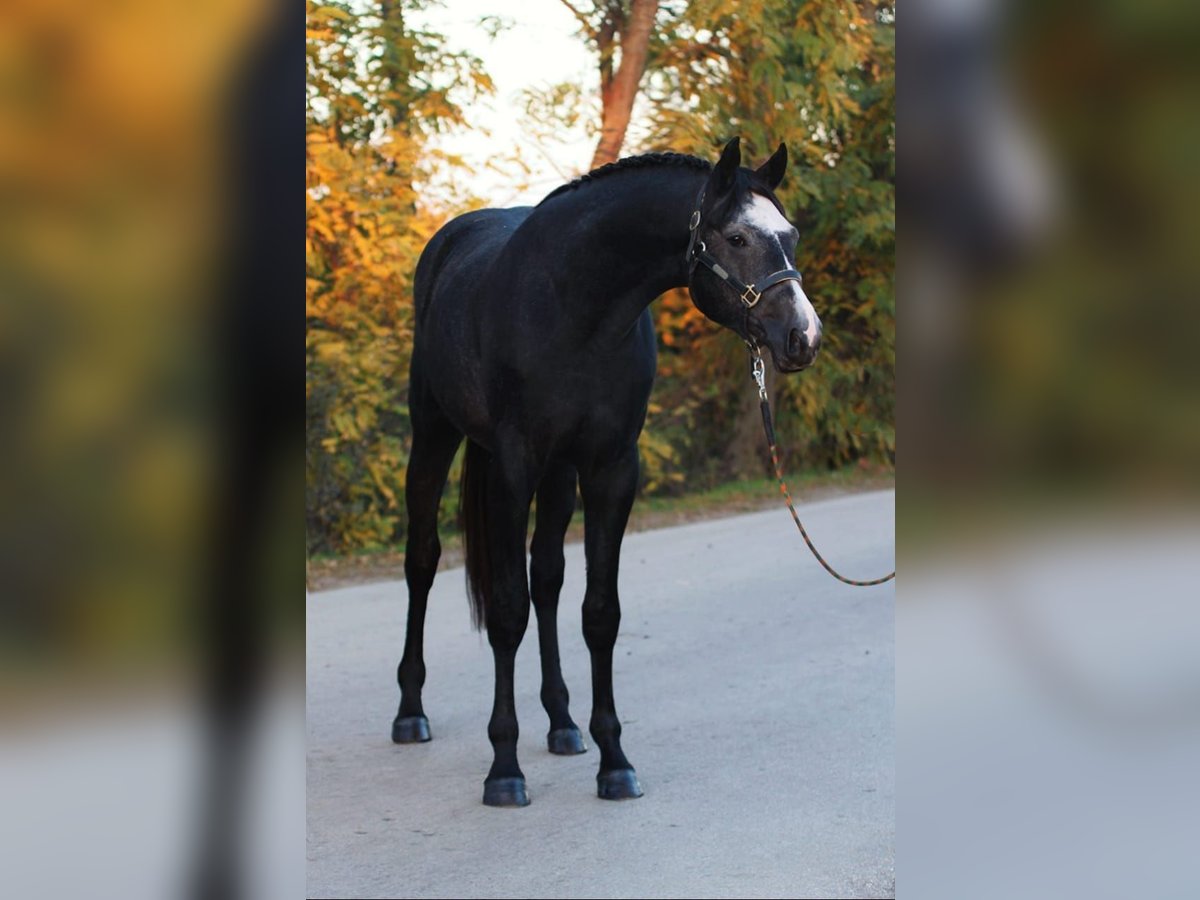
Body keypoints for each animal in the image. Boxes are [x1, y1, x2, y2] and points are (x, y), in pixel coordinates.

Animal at [388, 137, 820, 806]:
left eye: (791, 235)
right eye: (738, 238)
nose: (803, 336)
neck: (572, 307)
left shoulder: (612, 469)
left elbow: (598, 612)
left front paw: (613, 759)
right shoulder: (511, 469)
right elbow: (506, 611)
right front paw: (504, 770)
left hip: (559, 477)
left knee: (548, 579)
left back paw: (563, 723)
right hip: (434, 437)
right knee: (423, 562)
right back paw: (411, 711)